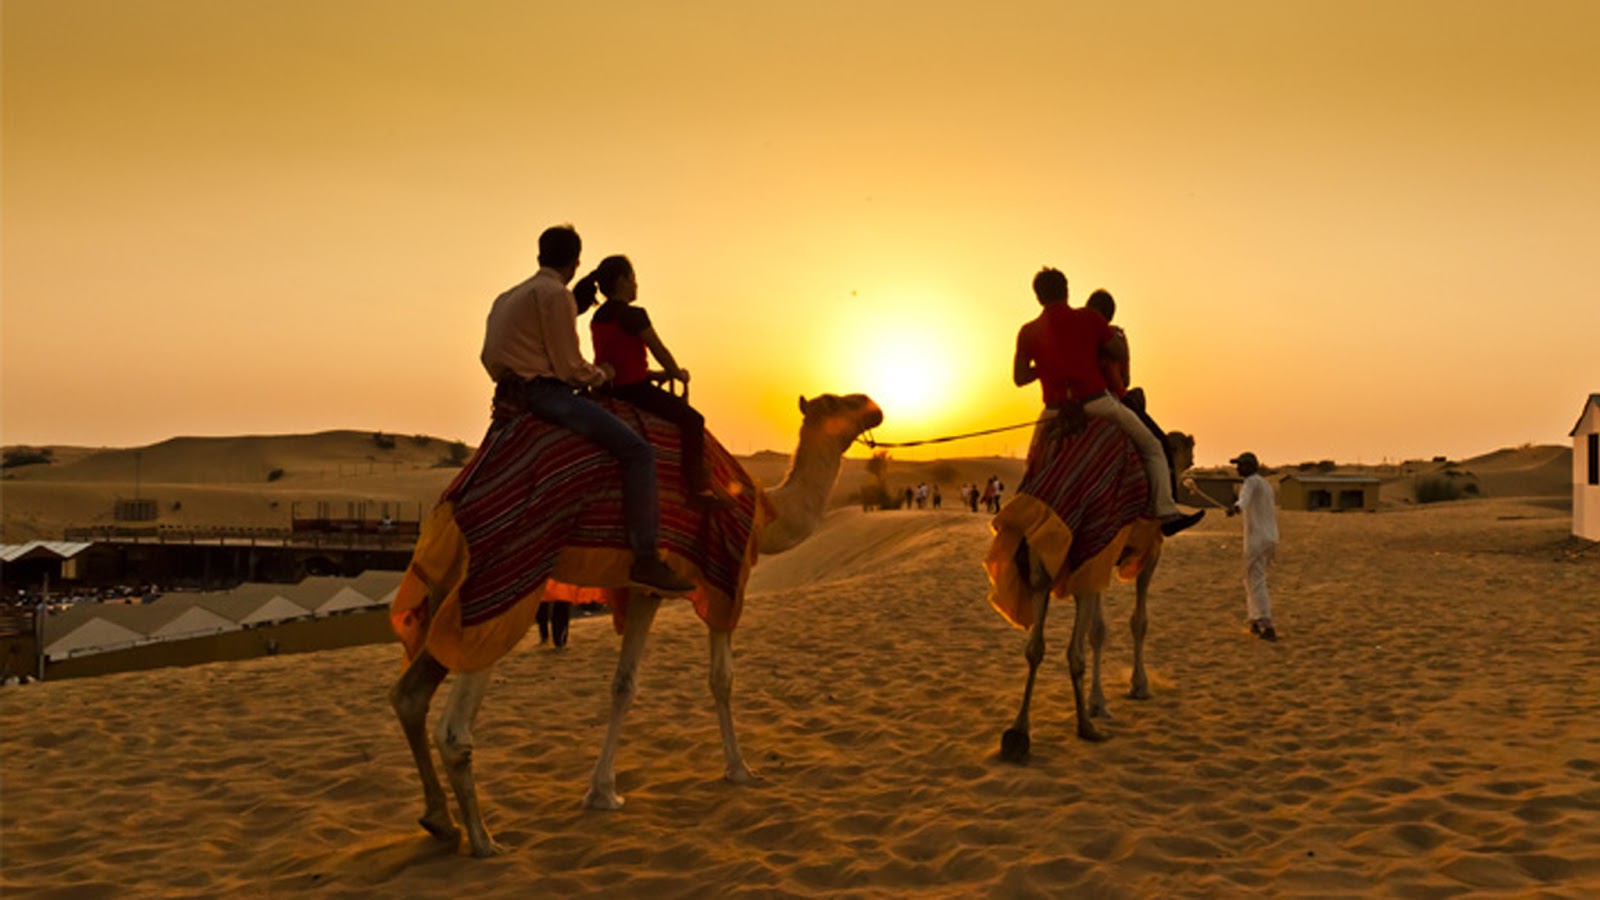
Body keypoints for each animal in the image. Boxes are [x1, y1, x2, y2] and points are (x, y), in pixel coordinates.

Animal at [390, 389, 889, 851]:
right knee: (454, 728)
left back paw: (440, 820)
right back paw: (483, 840)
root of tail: (450, 506)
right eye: (838, 403)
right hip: (501, 586)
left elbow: (623, 684)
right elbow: (722, 679)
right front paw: (740, 769)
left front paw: (602, 791)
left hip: (445, 590)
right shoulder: (723, 584)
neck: (765, 512)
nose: (874, 405)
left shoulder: (644, 589)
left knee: (409, 695)